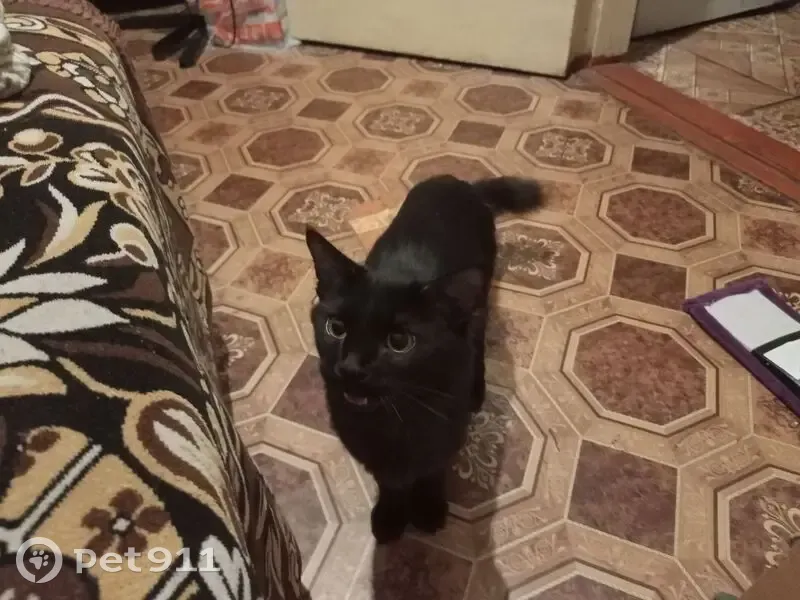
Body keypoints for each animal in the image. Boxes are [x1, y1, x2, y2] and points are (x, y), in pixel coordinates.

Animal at [305, 174, 541, 543]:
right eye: (336, 328)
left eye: (400, 341)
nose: (351, 367)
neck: (395, 418)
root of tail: (458, 182)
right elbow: (389, 480)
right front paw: (390, 515)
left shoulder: (444, 434)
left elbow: (432, 470)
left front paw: (428, 509)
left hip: (479, 303)